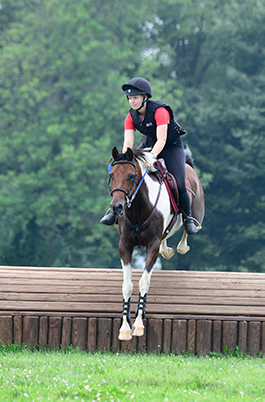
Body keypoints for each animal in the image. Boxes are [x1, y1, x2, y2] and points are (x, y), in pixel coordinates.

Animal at [107, 144, 204, 340]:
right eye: (111, 175)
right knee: (166, 239)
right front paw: (124, 328)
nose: (116, 207)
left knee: (187, 228)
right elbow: (127, 285)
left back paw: (182, 244)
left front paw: (138, 325)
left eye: (131, 176)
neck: (138, 207)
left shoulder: (152, 246)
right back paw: (167, 250)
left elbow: (144, 282)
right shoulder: (125, 246)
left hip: (196, 213)